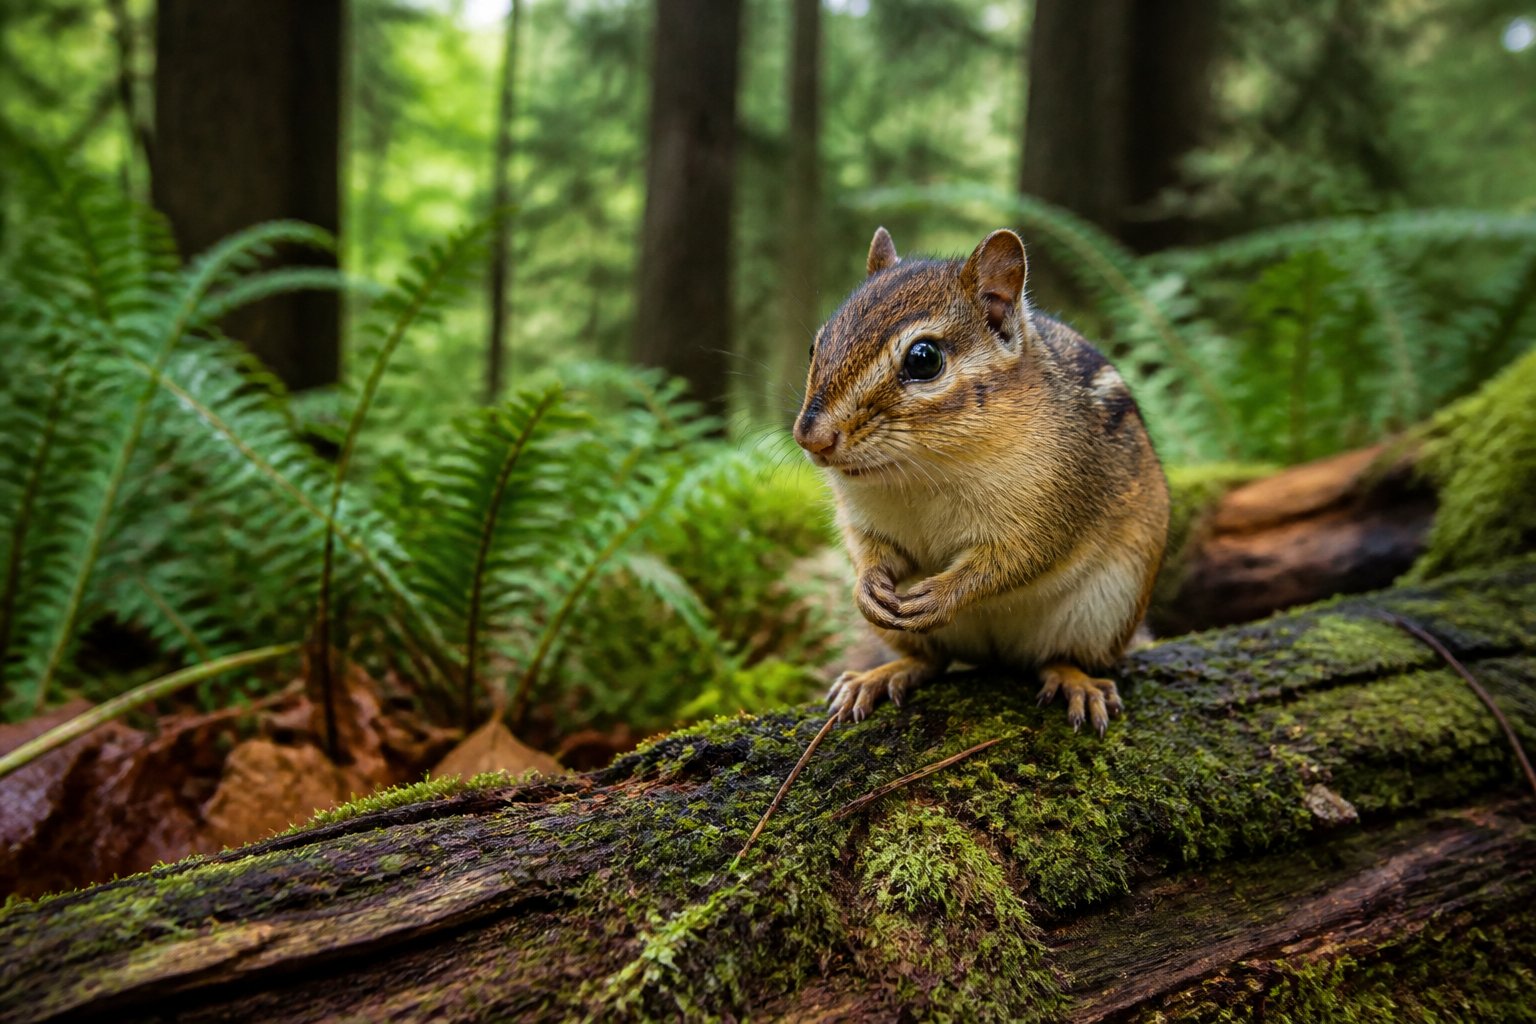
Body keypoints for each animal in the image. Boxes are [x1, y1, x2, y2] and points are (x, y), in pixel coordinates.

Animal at [792, 227, 1170, 735]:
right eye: (817, 346)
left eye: (924, 359)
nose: (811, 438)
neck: (921, 473)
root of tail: (995, 655)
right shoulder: (861, 518)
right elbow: (867, 547)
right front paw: (867, 586)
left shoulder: (1053, 505)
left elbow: (1014, 561)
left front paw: (942, 594)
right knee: (931, 662)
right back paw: (879, 675)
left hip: (1106, 612)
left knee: (1058, 658)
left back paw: (1076, 682)